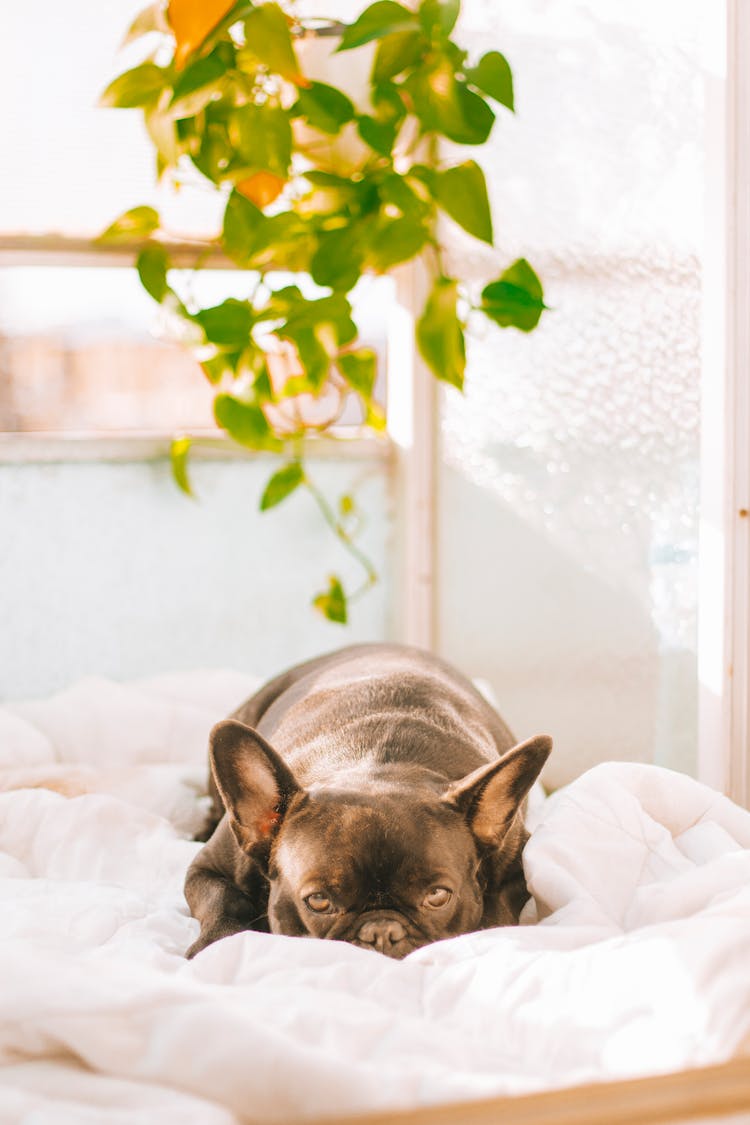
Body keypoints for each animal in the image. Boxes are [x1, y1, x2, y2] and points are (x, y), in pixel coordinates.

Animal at [184, 643, 550, 958]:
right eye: (318, 901)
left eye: (437, 896)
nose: (381, 931)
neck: (374, 761)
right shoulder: (207, 869)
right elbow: (225, 900)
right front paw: (217, 943)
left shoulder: (515, 864)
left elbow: (496, 912)